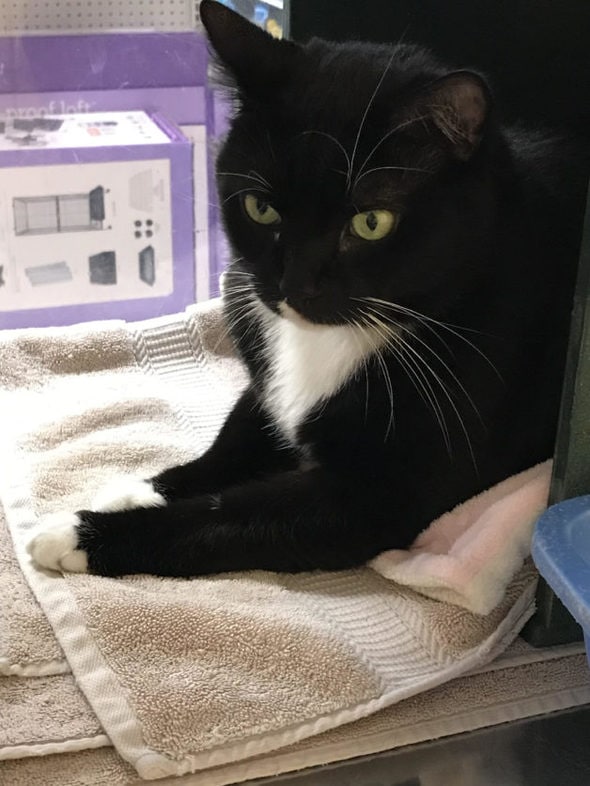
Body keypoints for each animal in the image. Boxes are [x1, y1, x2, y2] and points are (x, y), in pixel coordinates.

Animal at [28, 0, 588, 576]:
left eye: (371, 222)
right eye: (260, 208)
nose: (294, 284)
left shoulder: (378, 493)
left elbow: (228, 516)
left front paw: (81, 533)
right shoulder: (265, 380)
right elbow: (235, 438)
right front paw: (141, 489)